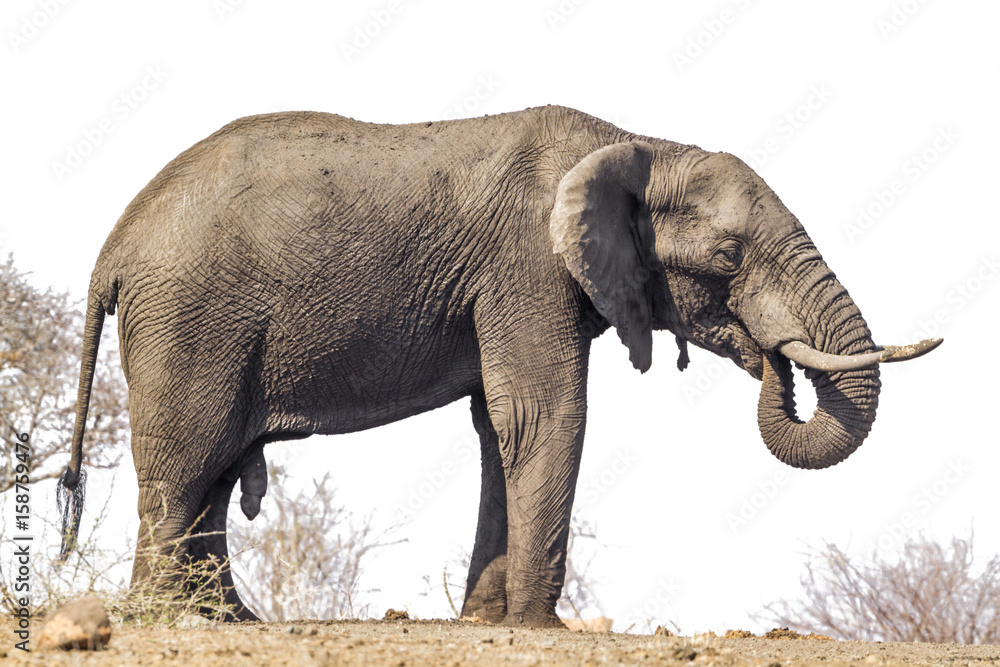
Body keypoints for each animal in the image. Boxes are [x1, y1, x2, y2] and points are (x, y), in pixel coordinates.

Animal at [59, 105, 940, 628]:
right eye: (729, 257)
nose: (768, 356)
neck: (635, 142)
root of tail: (111, 248)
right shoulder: (527, 267)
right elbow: (546, 414)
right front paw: (539, 628)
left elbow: (497, 427)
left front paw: (484, 623)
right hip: (190, 319)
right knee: (186, 463)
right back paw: (165, 618)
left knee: (209, 470)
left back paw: (227, 620)